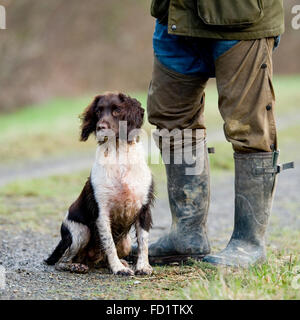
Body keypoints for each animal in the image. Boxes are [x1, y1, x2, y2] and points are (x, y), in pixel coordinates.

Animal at [45, 92, 154, 276]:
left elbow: (143, 242)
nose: (100, 127)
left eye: (117, 111)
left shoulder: (143, 209)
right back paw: (77, 266)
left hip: (125, 243)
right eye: (98, 111)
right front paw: (118, 269)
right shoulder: (102, 213)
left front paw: (143, 266)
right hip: (80, 232)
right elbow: (108, 243)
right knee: (62, 261)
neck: (118, 156)